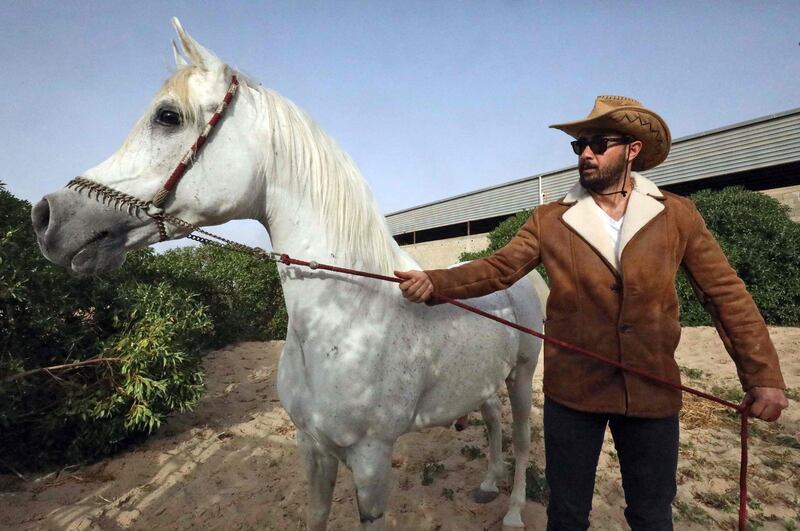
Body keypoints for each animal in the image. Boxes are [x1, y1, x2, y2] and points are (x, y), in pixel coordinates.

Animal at [31, 17, 544, 531]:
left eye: (168, 116)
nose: (46, 216)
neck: (350, 323)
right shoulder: (311, 447)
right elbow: (315, 514)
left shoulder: (372, 459)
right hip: (484, 382)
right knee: (491, 419)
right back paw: (487, 484)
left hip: (521, 377)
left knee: (520, 441)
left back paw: (513, 511)